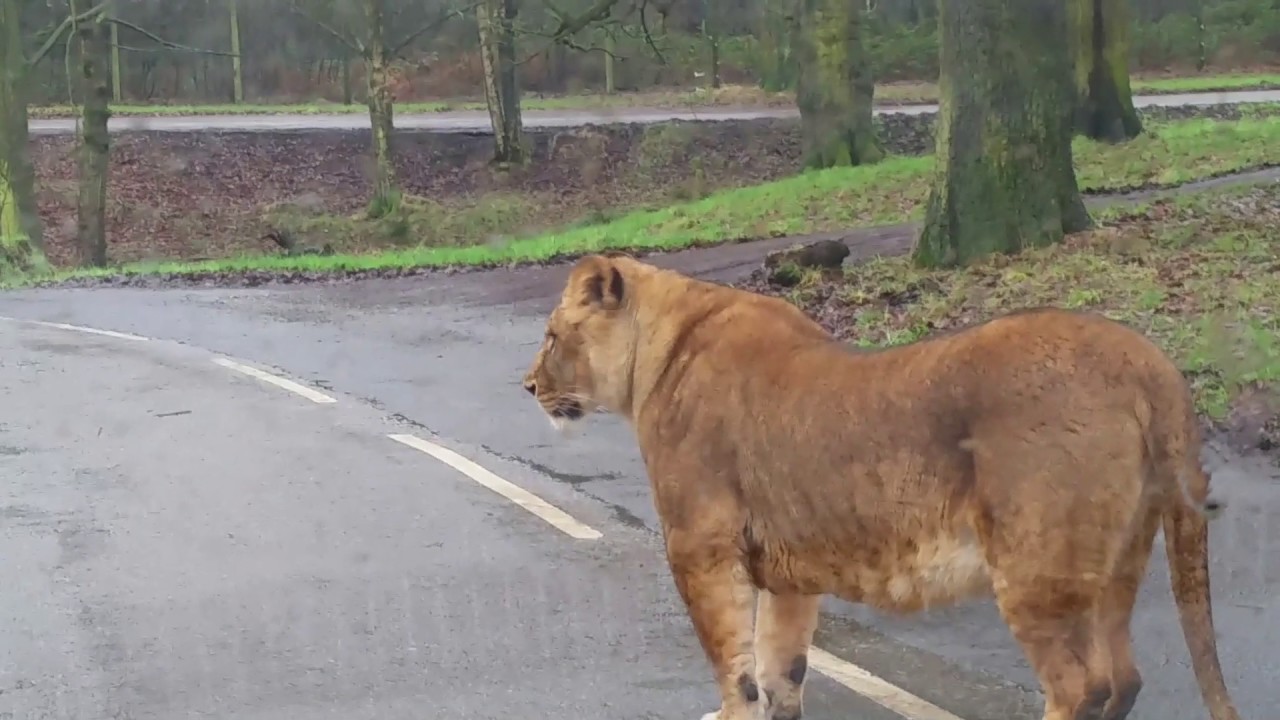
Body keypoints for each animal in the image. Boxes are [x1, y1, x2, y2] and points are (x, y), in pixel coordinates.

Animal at [521, 253, 1241, 720]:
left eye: (552, 336)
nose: (527, 386)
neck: (659, 352)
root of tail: (1146, 359)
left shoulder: (700, 547)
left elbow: (735, 667)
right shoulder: (788, 571)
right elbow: (781, 669)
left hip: (1036, 571)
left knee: (1081, 686)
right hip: (1119, 563)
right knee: (1125, 679)